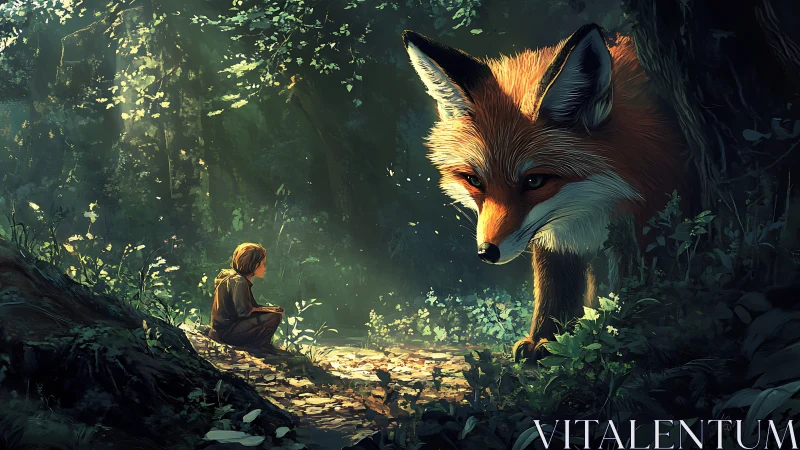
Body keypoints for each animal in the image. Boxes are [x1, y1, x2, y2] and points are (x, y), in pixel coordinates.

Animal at [402, 24, 687, 362]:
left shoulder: (643, 227)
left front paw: (623, 337)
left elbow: (634, 288)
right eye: (474, 180)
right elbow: (555, 285)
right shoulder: (557, 237)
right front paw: (547, 339)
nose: (487, 252)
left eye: (535, 181)